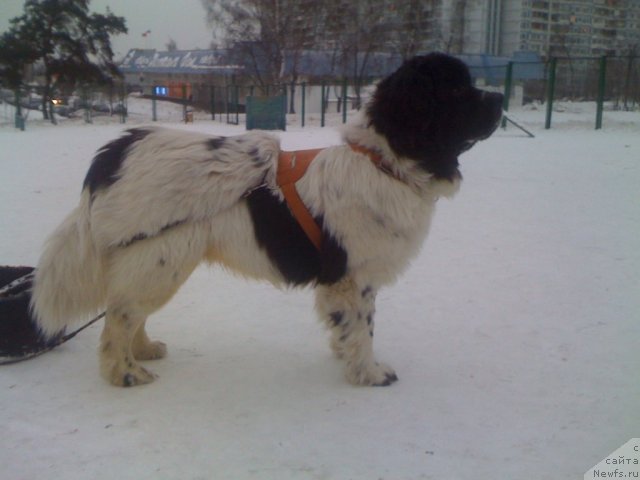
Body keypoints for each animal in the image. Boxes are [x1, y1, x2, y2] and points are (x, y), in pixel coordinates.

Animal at [31, 54, 504, 388]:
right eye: (457, 89)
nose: (500, 98)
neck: (383, 162)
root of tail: (115, 152)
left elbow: (348, 326)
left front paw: (345, 355)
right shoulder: (353, 276)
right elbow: (363, 327)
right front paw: (368, 372)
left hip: (157, 258)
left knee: (129, 312)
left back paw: (144, 351)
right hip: (159, 259)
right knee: (118, 317)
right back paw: (124, 374)